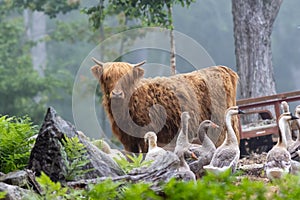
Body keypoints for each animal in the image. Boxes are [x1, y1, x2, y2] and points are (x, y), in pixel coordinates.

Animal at [91, 58, 239, 153]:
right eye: (107, 77)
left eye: (127, 78)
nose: (116, 94)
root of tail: (222, 69)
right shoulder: (128, 139)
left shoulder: (146, 133)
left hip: (219, 122)